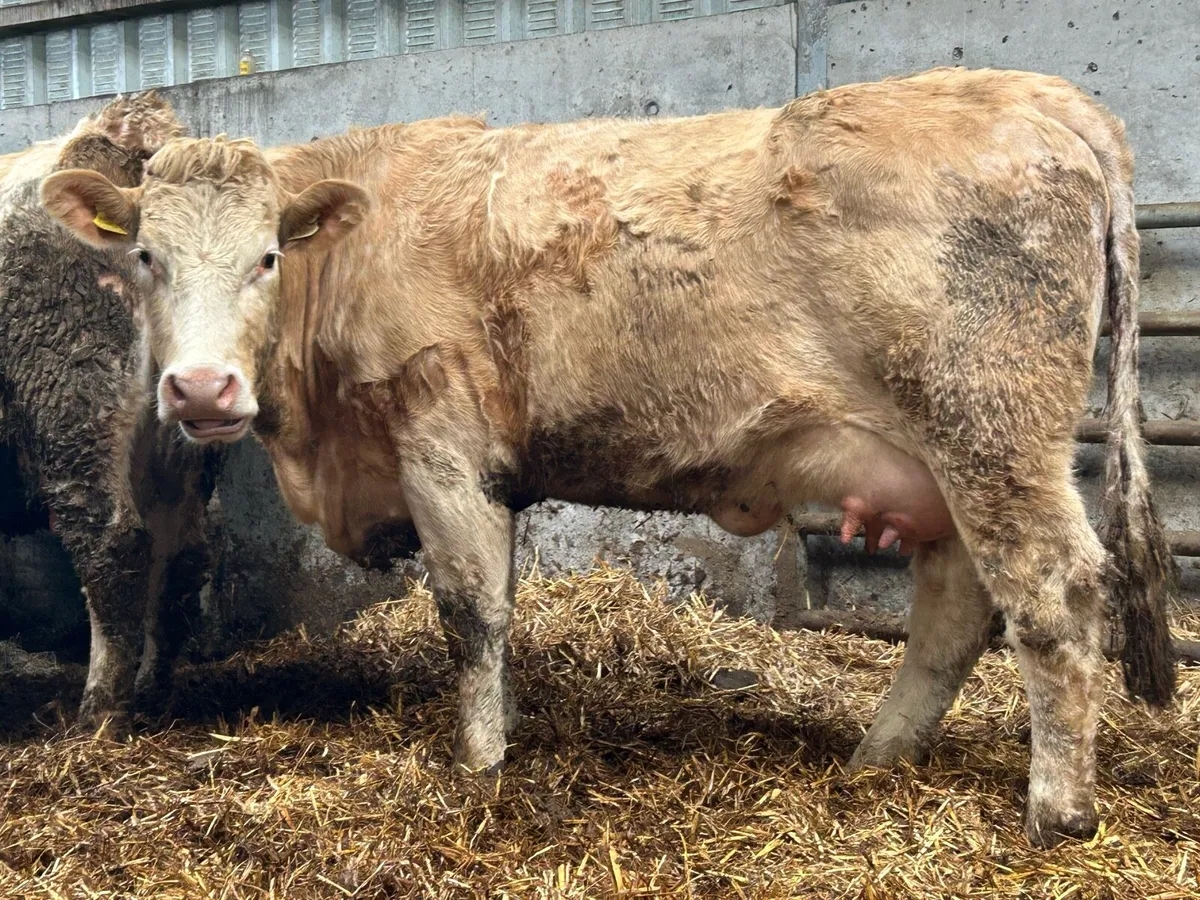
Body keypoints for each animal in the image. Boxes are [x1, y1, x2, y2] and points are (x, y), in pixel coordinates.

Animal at [2, 94, 220, 732]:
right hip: (178, 440)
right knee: (181, 558)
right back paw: (149, 695)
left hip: (72, 395)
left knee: (114, 544)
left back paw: (98, 713)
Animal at [42, 67, 1178, 847]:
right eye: (146, 257)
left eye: (267, 257)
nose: (200, 390)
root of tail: (1026, 92)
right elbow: (495, 603)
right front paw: (500, 733)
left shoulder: (439, 437)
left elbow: (468, 608)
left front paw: (478, 765)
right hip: (943, 465)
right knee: (955, 610)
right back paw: (876, 757)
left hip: (990, 432)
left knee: (1052, 593)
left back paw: (1057, 808)